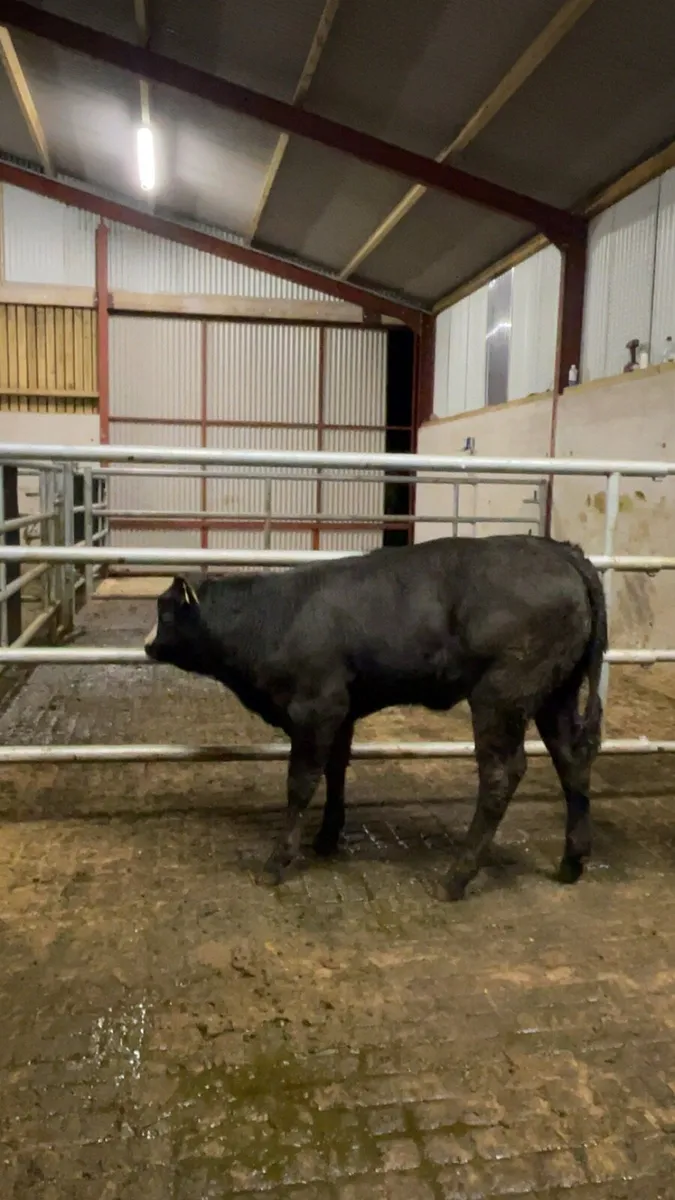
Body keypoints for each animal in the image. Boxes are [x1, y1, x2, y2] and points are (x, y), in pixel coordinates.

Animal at [144, 534, 607, 901]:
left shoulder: (316, 708)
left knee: (500, 776)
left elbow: (300, 782)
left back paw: (456, 877)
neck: (278, 616)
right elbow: (335, 771)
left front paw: (278, 860)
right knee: (572, 762)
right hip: (556, 696)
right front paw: (327, 837)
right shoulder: (342, 713)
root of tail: (559, 551)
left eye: (165, 613)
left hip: (500, 697)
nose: (147, 645)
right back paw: (572, 861)